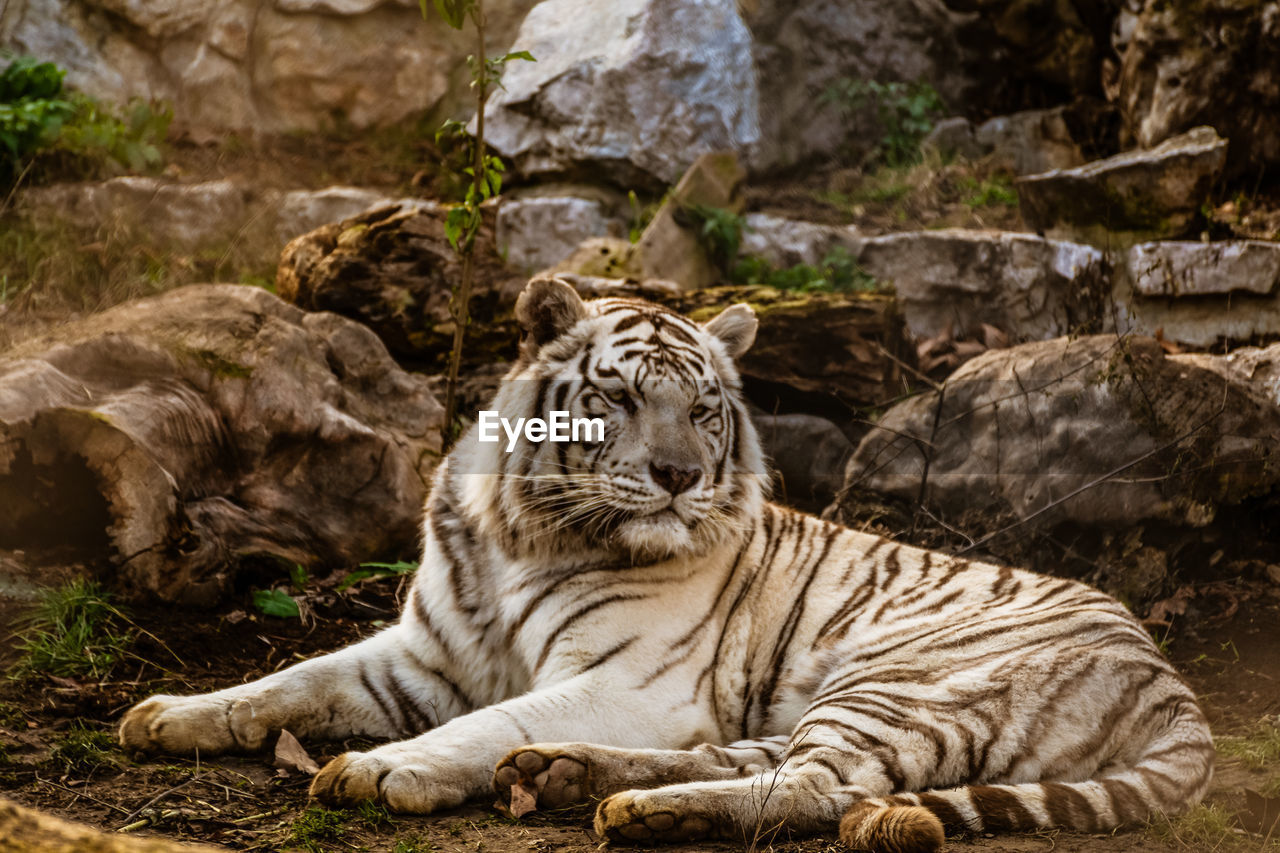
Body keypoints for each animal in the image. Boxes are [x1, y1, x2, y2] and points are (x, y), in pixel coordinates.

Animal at [120, 275, 1208, 845]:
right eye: (619, 398)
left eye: (706, 408)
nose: (681, 474)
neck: (519, 534)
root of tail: (1168, 680)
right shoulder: (422, 655)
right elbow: (289, 678)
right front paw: (168, 714)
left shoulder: (630, 679)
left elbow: (484, 720)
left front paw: (384, 767)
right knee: (764, 758)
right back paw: (568, 775)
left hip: (901, 678)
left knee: (815, 787)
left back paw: (632, 805)